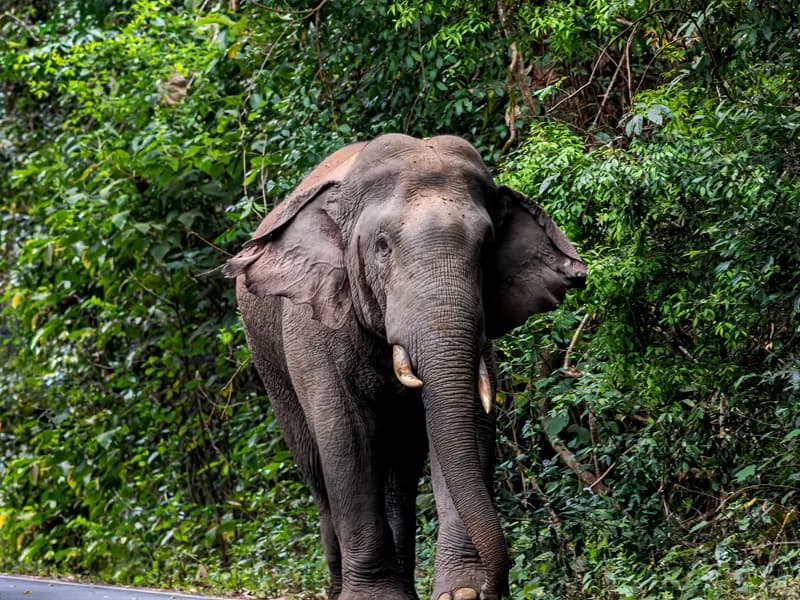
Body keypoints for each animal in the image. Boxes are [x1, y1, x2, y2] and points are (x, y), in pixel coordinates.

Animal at [224, 134, 586, 600]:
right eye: (382, 246)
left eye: (486, 247)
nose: (496, 588)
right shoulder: (313, 329)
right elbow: (345, 436)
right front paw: (374, 598)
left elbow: (470, 423)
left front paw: (462, 594)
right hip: (268, 361)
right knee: (316, 468)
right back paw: (339, 588)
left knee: (401, 468)